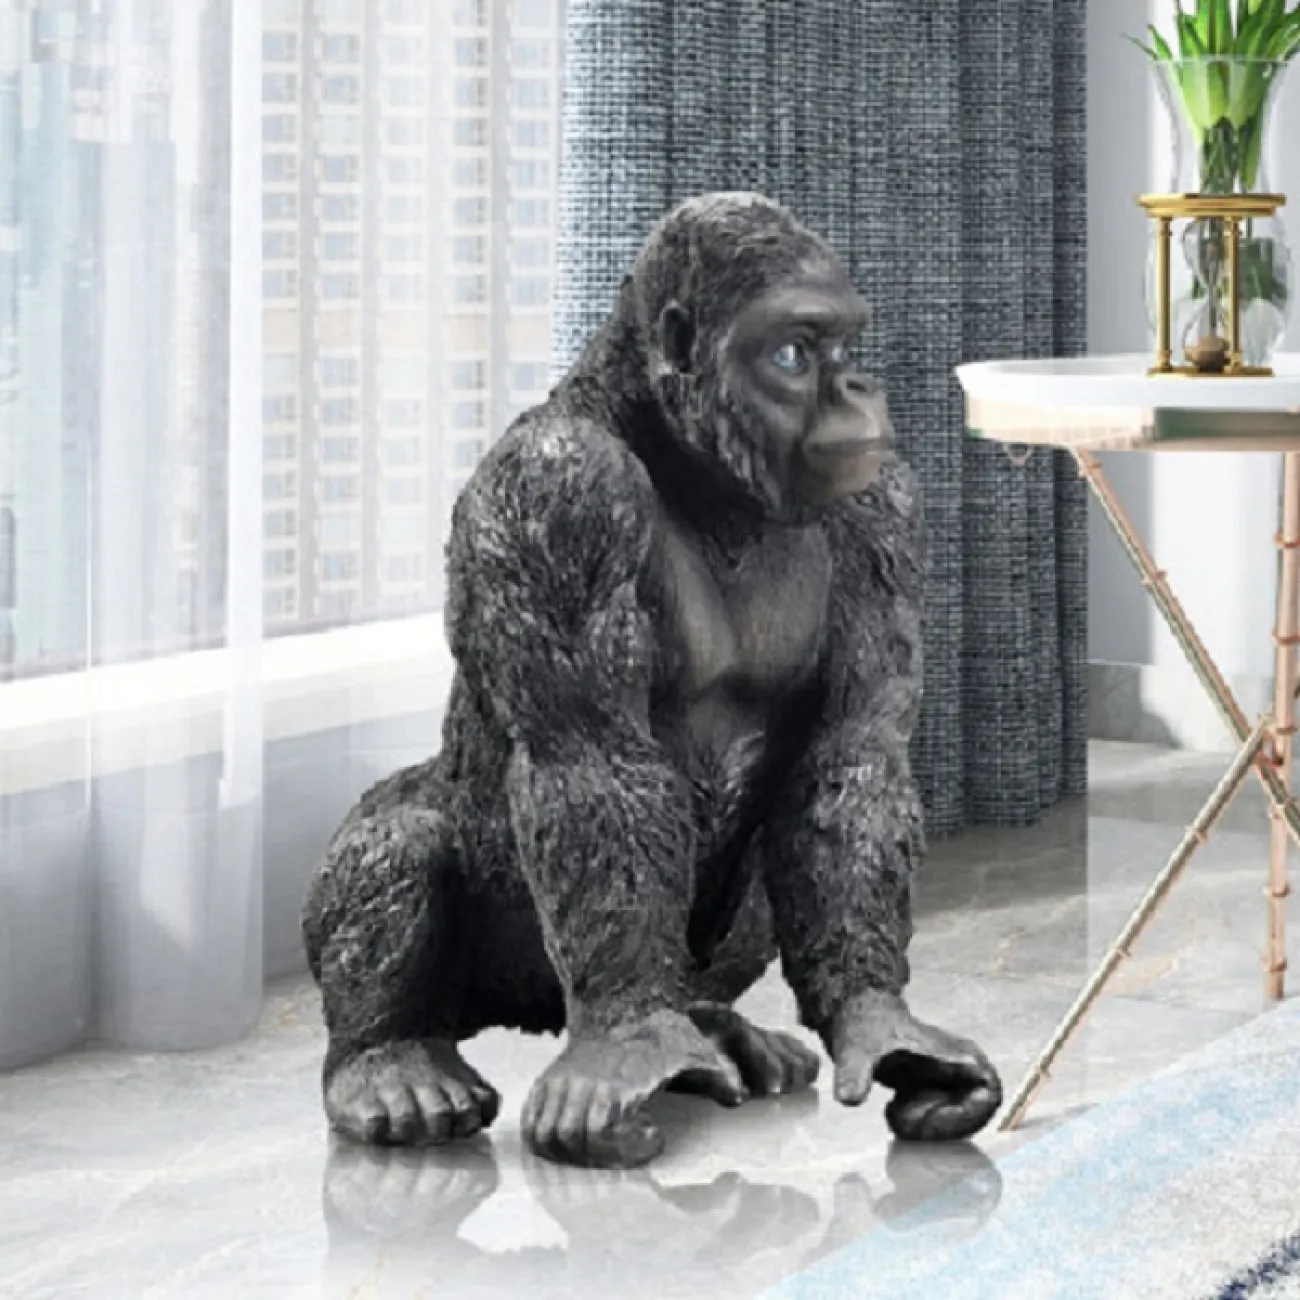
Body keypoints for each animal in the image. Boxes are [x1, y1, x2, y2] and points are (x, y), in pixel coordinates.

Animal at [301, 191, 1003, 1170]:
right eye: (794, 352)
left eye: (844, 346)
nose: (859, 389)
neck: (692, 466)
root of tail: (527, 1016)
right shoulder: (560, 492)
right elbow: (592, 762)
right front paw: (632, 1041)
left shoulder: (882, 512)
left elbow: (849, 763)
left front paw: (882, 1022)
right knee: (401, 841)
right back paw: (389, 1063)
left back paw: (714, 1026)